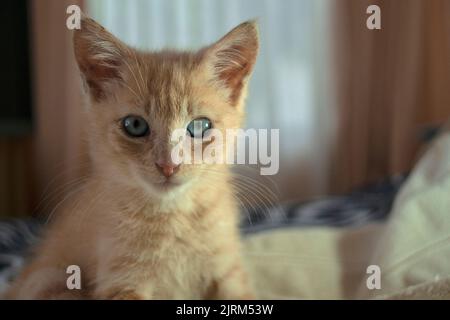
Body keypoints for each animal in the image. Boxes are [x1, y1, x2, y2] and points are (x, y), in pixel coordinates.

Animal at [3, 15, 258, 300]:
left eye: (200, 126)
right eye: (135, 125)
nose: (168, 165)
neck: (173, 215)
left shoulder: (229, 272)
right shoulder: (120, 281)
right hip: (47, 277)